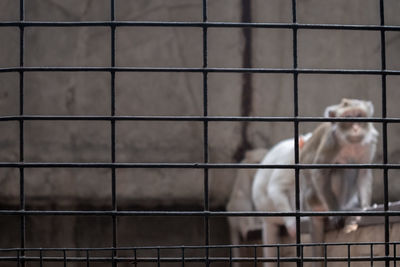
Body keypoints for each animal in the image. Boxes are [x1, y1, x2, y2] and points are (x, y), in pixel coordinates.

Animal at [253, 99, 378, 266]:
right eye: (348, 117)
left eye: (359, 116)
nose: (356, 127)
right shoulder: (330, 143)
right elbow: (317, 173)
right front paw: (335, 212)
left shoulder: (367, 144)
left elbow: (364, 172)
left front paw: (365, 207)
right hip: (313, 198)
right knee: (338, 169)